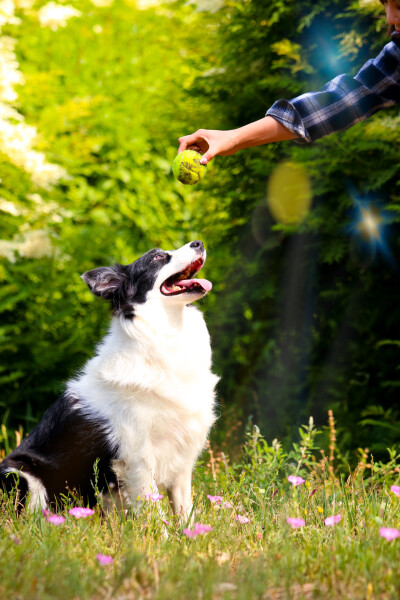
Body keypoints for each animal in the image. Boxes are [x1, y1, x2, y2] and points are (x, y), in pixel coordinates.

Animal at [0, 241, 219, 516]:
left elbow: (184, 511)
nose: (198, 243)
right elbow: (154, 513)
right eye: (157, 258)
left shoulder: (181, 454)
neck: (164, 334)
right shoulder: (138, 458)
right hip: (20, 473)